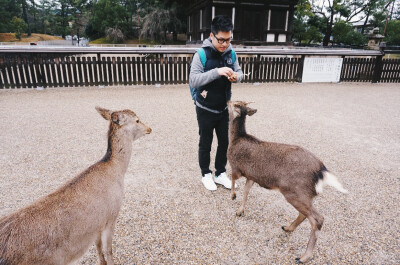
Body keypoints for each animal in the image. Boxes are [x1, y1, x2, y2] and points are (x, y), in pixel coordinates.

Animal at [0, 106, 151, 262]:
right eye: (137, 120)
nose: (149, 128)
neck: (117, 170)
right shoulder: (111, 216)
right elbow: (108, 251)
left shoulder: (97, 223)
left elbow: (98, 248)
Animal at [227, 100, 348, 262]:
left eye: (234, 104)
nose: (227, 101)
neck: (235, 139)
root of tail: (322, 171)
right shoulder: (252, 176)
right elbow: (246, 191)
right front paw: (240, 211)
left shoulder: (236, 166)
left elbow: (233, 180)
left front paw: (233, 196)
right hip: (304, 194)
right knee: (305, 214)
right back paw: (288, 228)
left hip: (295, 191)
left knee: (318, 219)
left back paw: (303, 257)